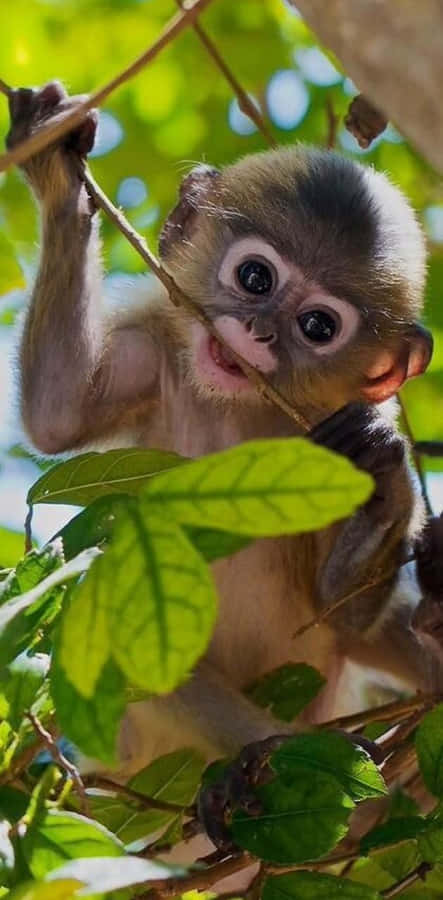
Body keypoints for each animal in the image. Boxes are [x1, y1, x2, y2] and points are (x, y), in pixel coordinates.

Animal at [6, 82, 437, 853]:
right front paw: (56, 175)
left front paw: (386, 465)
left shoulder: (332, 426)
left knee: (391, 625)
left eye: (318, 327)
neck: (239, 409)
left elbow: (345, 615)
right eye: (255, 277)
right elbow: (57, 414)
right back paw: (268, 765)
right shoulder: (154, 346)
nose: (259, 333)